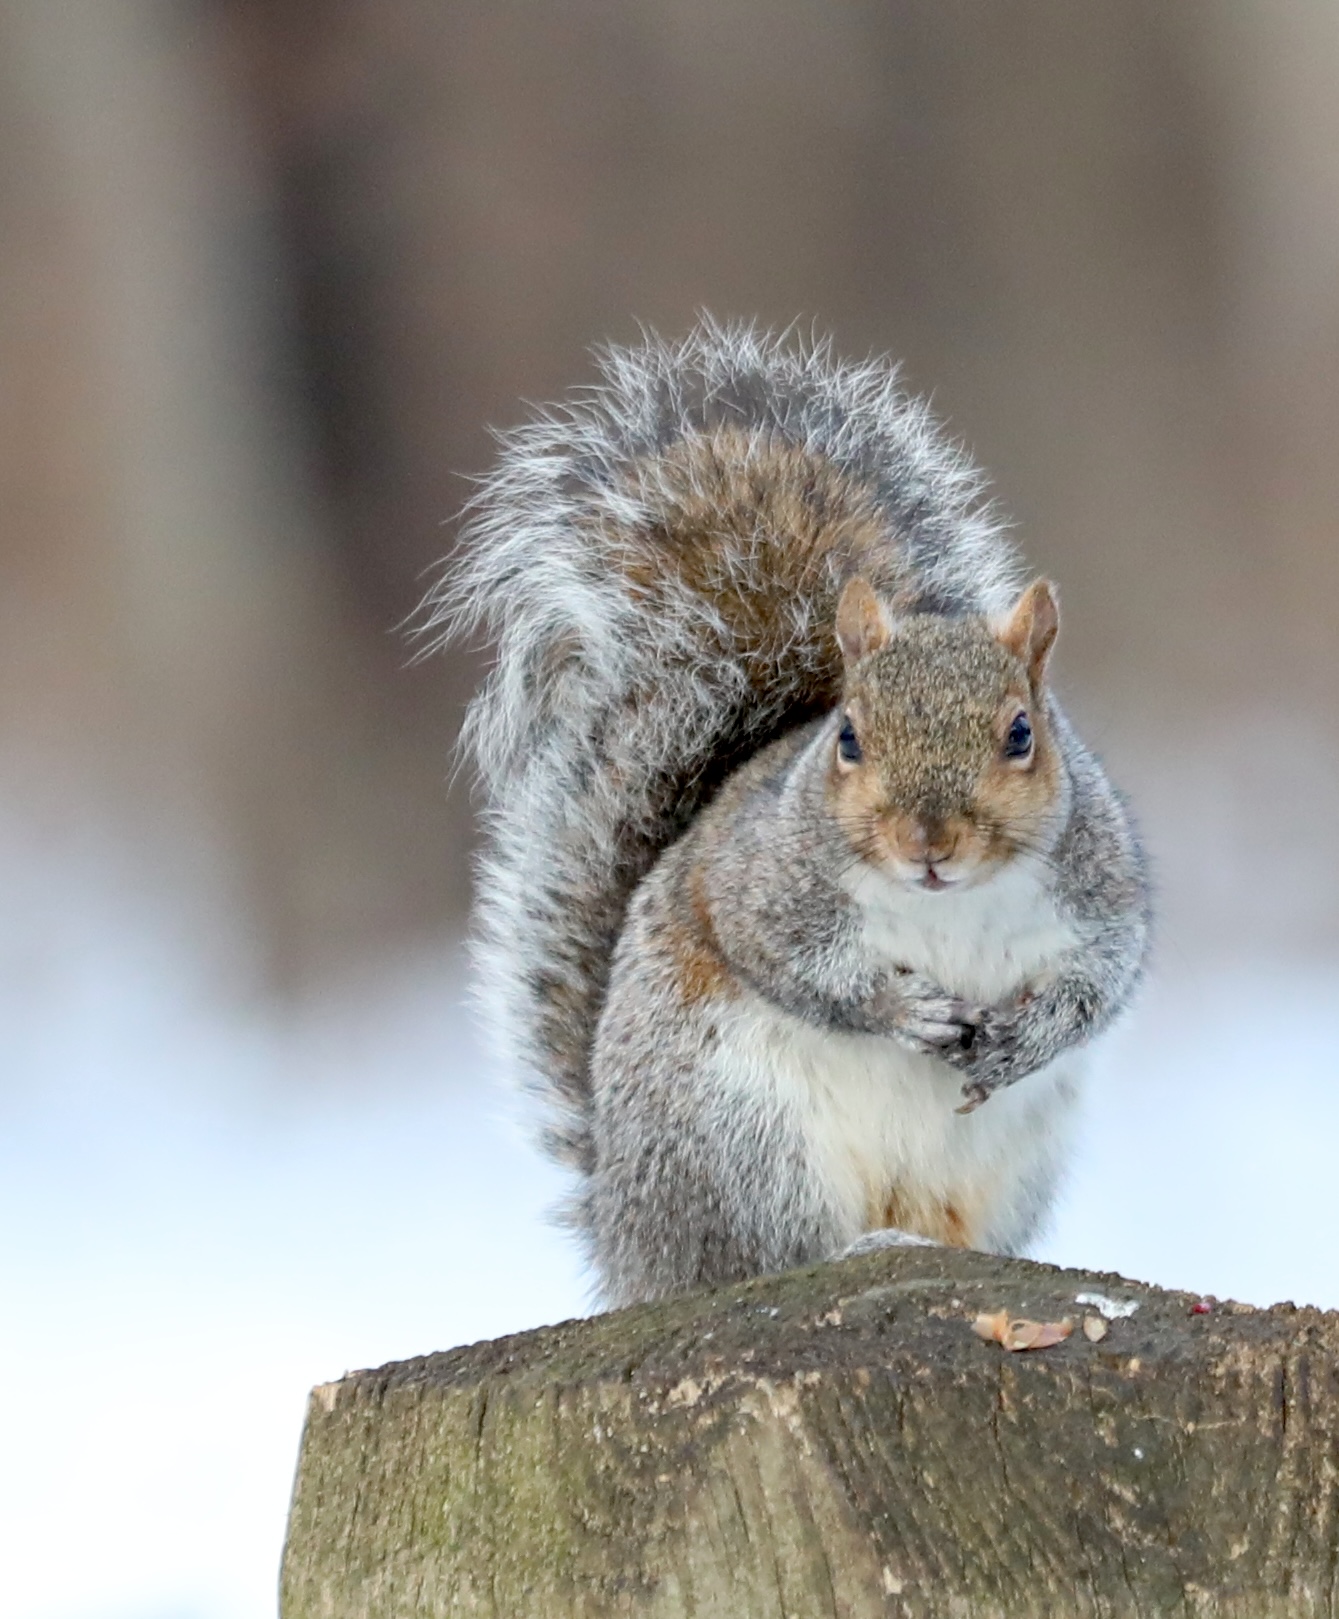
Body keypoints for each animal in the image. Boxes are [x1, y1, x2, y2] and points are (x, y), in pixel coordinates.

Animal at [432, 318, 1151, 1309]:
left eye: (1020, 734)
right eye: (847, 736)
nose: (926, 842)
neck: (948, 904)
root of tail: (630, 1246)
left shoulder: (1099, 889)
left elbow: (1099, 983)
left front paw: (1021, 1039)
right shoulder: (756, 880)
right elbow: (791, 961)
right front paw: (900, 1008)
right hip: (745, 1144)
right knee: (764, 1259)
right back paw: (855, 1250)